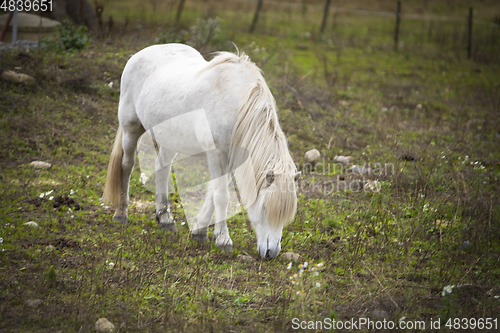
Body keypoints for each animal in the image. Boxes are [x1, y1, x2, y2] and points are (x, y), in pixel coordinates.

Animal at [103, 43, 298, 256]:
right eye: (264, 209)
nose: (272, 253)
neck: (237, 105)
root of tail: (140, 53)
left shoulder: (231, 157)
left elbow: (213, 192)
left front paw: (200, 230)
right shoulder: (217, 154)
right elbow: (222, 196)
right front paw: (223, 239)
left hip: (170, 139)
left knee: (162, 168)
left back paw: (165, 219)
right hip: (131, 128)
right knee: (127, 166)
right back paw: (121, 214)